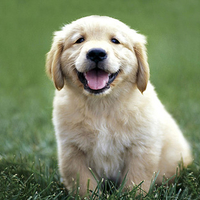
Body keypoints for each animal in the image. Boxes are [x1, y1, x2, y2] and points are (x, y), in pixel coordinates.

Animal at [45, 16, 192, 197]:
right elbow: (83, 183)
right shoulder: (72, 150)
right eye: (79, 40)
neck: (101, 105)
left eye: (115, 41)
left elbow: (136, 179)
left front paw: (133, 195)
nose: (96, 53)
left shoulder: (141, 147)